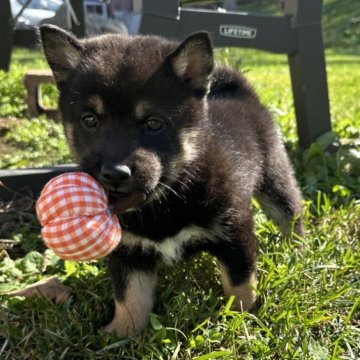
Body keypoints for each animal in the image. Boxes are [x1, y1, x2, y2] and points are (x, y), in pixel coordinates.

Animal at [39, 25, 304, 338]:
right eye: (90, 120)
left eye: (153, 124)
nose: (114, 173)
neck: (170, 196)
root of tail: (242, 95)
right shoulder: (128, 251)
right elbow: (130, 298)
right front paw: (120, 334)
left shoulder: (234, 230)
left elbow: (239, 283)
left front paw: (243, 320)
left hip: (275, 176)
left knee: (290, 213)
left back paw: (297, 250)